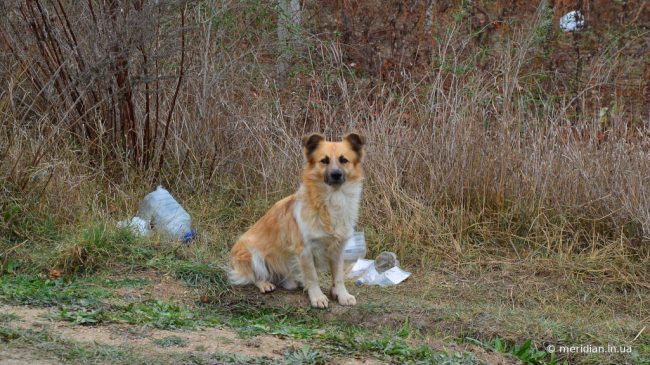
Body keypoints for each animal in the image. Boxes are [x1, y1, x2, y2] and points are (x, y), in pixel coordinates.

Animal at [228, 132, 362, 306]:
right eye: (324, 160)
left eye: (343, 160)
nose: (336, 174)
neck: (332, 199)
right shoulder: (304, 249)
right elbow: (312, 277)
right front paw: (317, 297)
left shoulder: (338, 248)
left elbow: (338, 276)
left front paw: (341, 294)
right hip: (251, 252)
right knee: (253, 276)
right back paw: (264, 283)